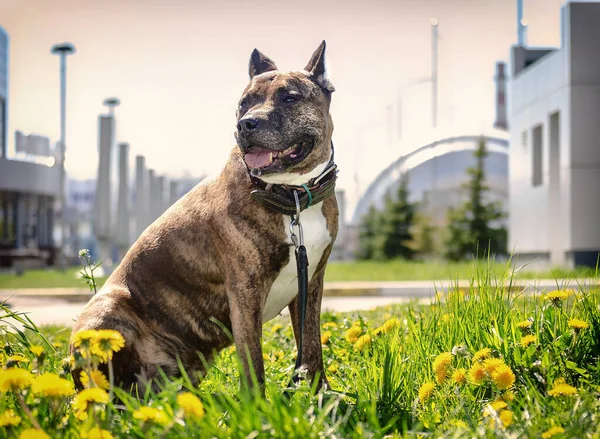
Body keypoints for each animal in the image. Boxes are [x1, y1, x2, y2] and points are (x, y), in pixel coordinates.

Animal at [70, 40, 338, 392]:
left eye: (290, 97)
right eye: (244, 103)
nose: (246, 123)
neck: (293, 196)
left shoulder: (311, 284)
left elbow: (311, 348)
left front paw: (325, 399)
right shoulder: (245, 293)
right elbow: (254, 364)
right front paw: (259, 406)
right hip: (106, 312)